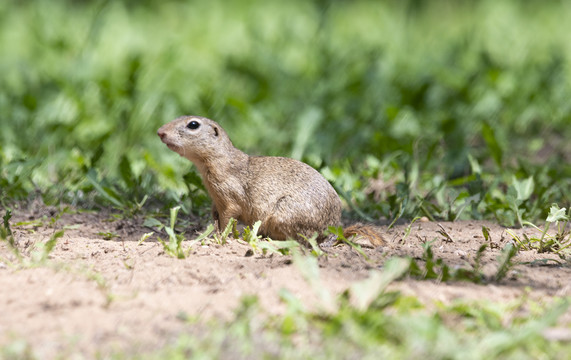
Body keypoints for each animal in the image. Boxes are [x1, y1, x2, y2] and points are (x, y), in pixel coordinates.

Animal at [156, 116, 384, 246]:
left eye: (193, 124)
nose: (160, 132)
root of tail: (333, 233)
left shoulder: (228, 195)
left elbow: (228, 217)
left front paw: (219, 237)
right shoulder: (215, 199)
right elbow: (216, 216)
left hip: (283, 215)